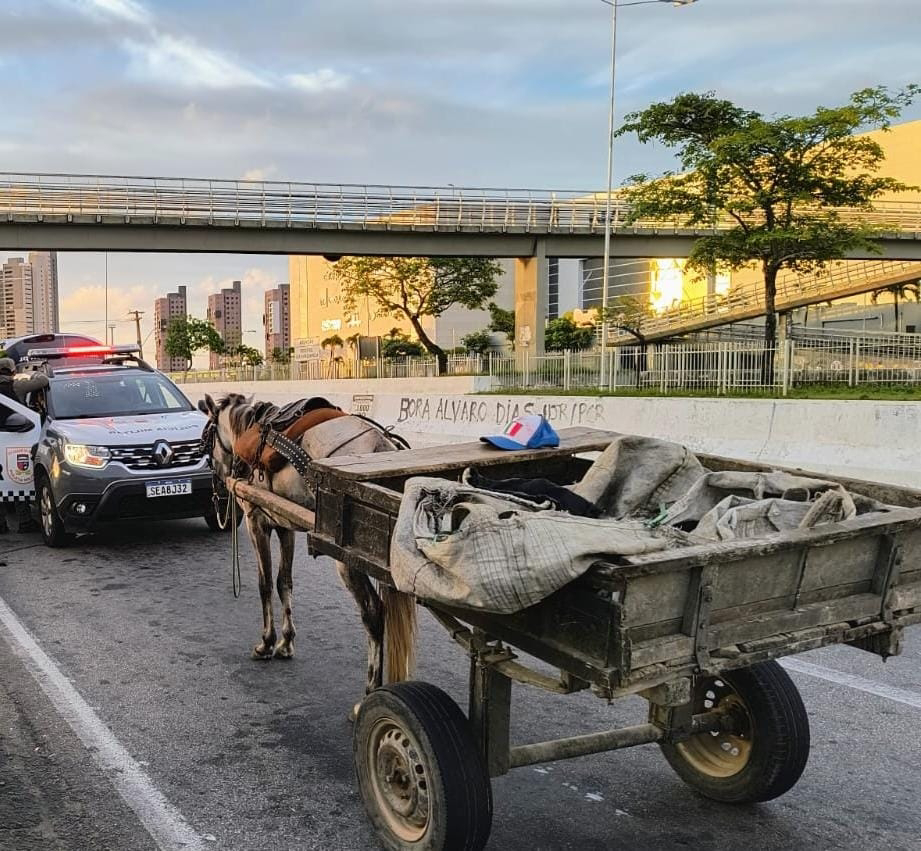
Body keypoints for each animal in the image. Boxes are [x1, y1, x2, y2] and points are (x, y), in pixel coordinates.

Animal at [202, 392, 420, 704]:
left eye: (205, 439)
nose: (218, 485)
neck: (250, 429)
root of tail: (381, 445)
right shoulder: (285, 524)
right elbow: (284, 582)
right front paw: (286, 642)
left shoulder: (257, 520)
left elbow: (264, 584)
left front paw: (266, 643)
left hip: (347, 559)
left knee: (374, 614)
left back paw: (369, 694)